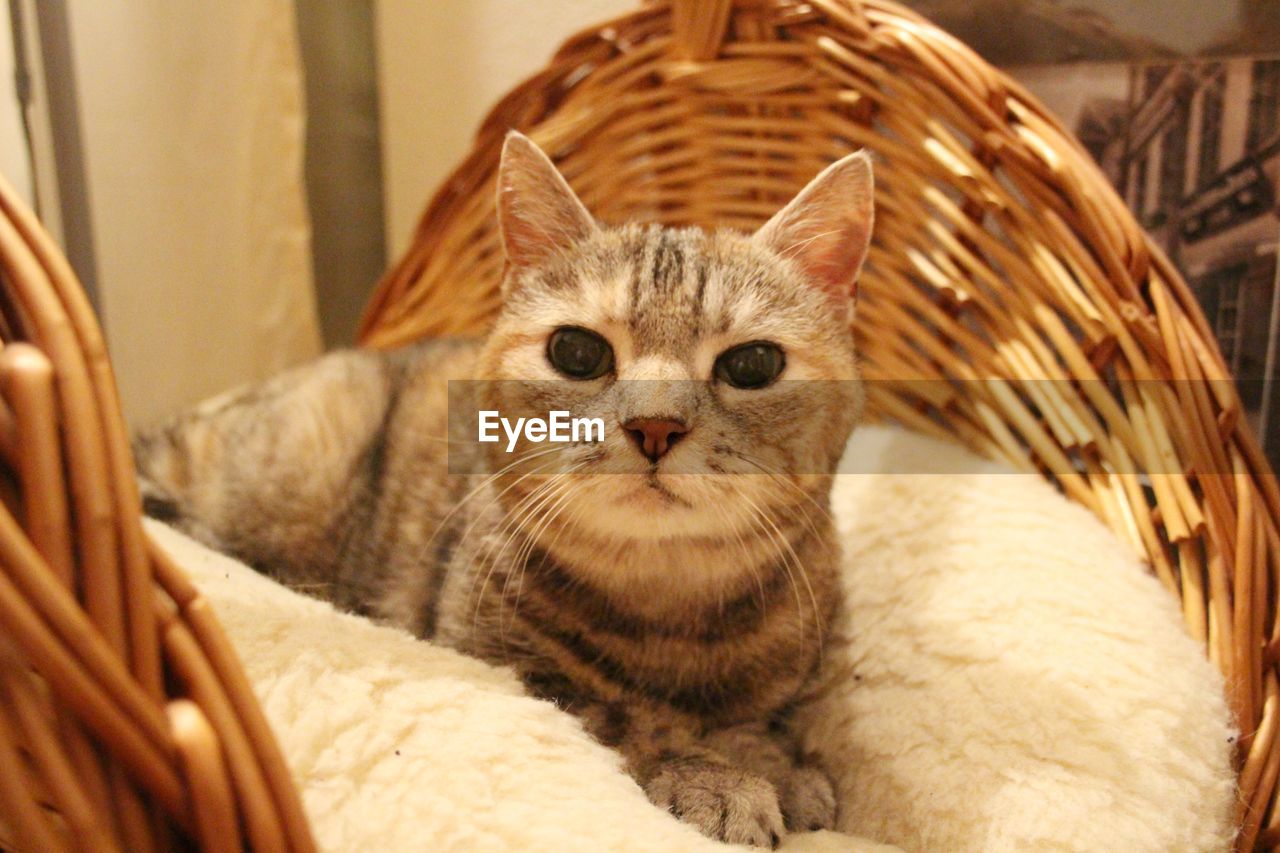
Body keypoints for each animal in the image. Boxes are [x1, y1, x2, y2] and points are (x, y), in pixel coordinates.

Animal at [135, 133, 875, 845]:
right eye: (577, 352)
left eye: (753, 364)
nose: (655, 425)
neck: (670, 610)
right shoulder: (510, 668)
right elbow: (631, 720)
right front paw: (718, 777)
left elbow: (756, 719)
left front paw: (775, 763)